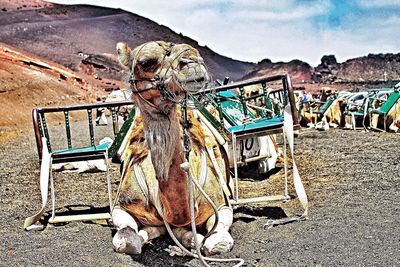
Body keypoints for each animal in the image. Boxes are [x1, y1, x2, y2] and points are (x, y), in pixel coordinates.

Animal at [111, 41, 234, 258]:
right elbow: (127, 241)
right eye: (146, 62)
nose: (192, 61)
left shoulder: (222, 205)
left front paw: (195, 240)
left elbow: (215, 243)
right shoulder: (121, 206)